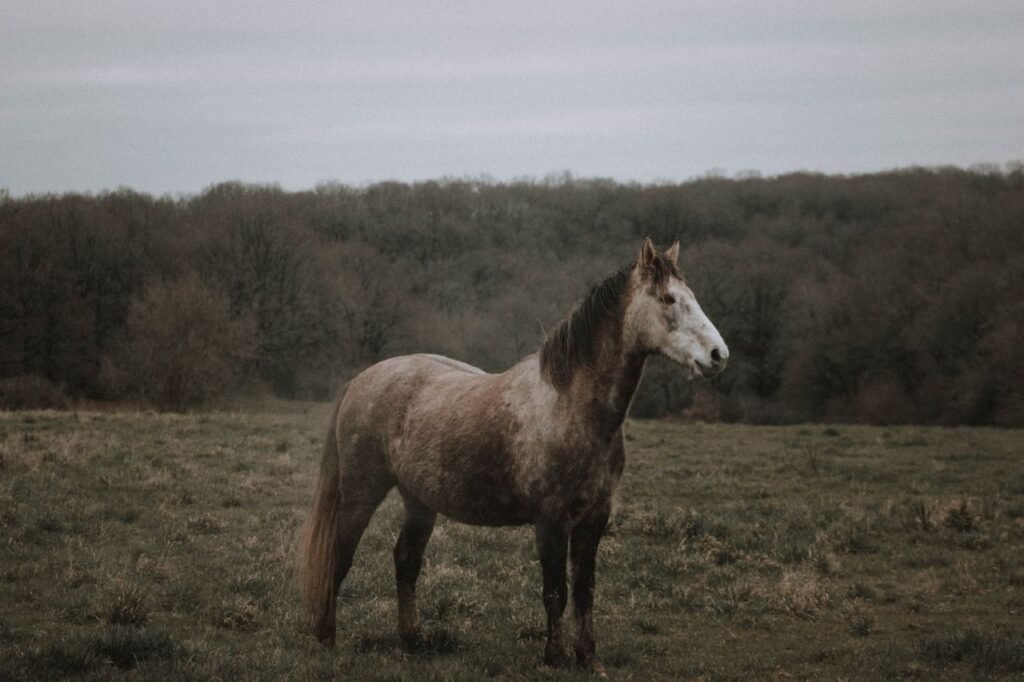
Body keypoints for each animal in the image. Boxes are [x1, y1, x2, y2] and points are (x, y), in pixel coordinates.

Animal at [299, 238, 728, 675]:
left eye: (691, 296)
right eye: (668, 299)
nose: (718, 355)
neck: (571, 406)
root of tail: (361, 380)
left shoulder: (594, 518)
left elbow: (585, 590)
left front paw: (588, 659)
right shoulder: (551, 520)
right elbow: (555, 592)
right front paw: (554, 659)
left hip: (419, 500)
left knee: (406, 559)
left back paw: (412, 640)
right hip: (362, 492)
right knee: (340, 555)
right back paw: (326, 638)